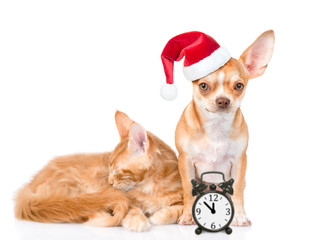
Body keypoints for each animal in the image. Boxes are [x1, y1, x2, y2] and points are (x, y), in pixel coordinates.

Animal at [14, 111, 183, 232]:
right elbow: (131, 208)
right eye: (109, 168)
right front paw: (137, 220)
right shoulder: (122, 196)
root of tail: (31, 185)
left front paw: (160, 215)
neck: (152, 188)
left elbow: (178, 210)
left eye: (116, 171)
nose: (109, 182)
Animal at [161, 29, 274, 225]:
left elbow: (237, 189)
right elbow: (188, 189)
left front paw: (239, 216)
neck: (216, 126)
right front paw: (188, 215)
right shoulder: (186, 161)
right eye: (203, 86)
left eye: (239, 86)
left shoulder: (239, 161)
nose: (223, 100)